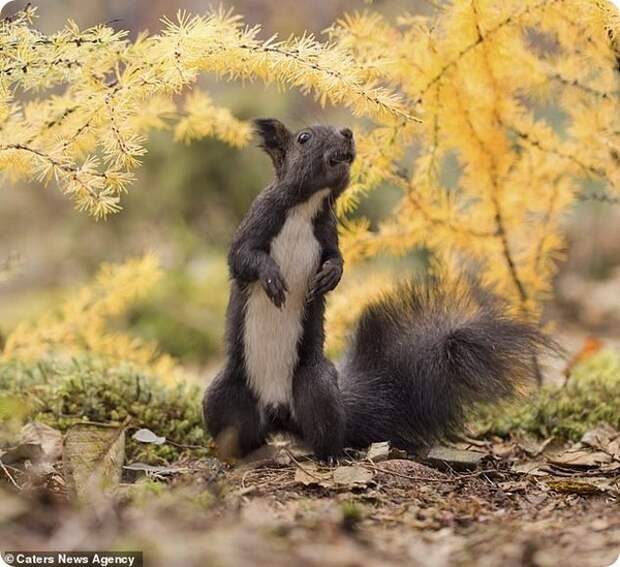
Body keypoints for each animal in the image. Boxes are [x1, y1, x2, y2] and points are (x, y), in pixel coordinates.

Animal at [201, 120, 544, 462]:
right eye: (303, 138)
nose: (347, 133)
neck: (305, 206)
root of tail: (278, 413)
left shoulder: (327, 231)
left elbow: (336, 258)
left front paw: (331, 276)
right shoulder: (260, 217)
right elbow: (241, 257)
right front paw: (272, 276)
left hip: (317, 389)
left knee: (328, 429)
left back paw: (330, 455)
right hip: (224, 396)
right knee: (236, 426)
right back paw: (232, 453)